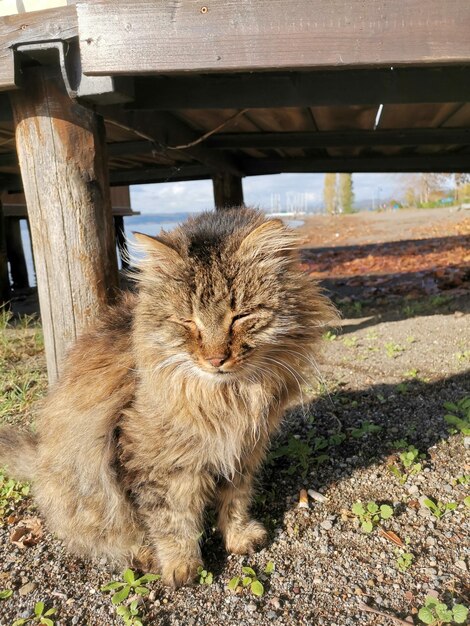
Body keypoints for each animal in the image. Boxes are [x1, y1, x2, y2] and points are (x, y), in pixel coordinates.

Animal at [0, 208, 338, 584]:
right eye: (188, 322)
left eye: (240, 316)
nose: (216, 359)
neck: (228, 398)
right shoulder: (156, 461)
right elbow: (171, 518)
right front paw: (181, 566)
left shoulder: (244, 451)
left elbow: (235, 499)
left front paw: (238, 536)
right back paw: (145, 556)